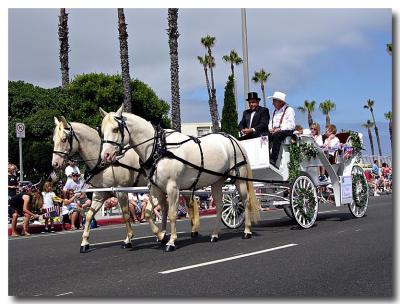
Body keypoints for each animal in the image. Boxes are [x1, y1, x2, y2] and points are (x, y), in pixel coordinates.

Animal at [52, 116, 200, 252]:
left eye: (64, 139)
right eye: (53, 139)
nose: (55, 164)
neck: (103, 162)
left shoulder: (120, 190)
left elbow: (125, 214)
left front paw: (128, 239)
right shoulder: (99, 193)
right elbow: (89, 215)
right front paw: (84, 242)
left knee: (189, 203)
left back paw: (193, 229)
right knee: (170, 206)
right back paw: (167, 233)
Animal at [98, 104, 258, 252]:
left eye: (115, 129)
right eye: (102, 132)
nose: (105, 156)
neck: (158, 148)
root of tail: (234, 139)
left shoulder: (173, 188)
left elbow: (172, 214)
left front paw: (170, 241)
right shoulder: (156, 188)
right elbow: (149, 213)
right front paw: (161, 235)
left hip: (240, 180)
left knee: (245, 201)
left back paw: (247, 231)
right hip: (217, 182)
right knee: (219, 206)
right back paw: (215, 234)